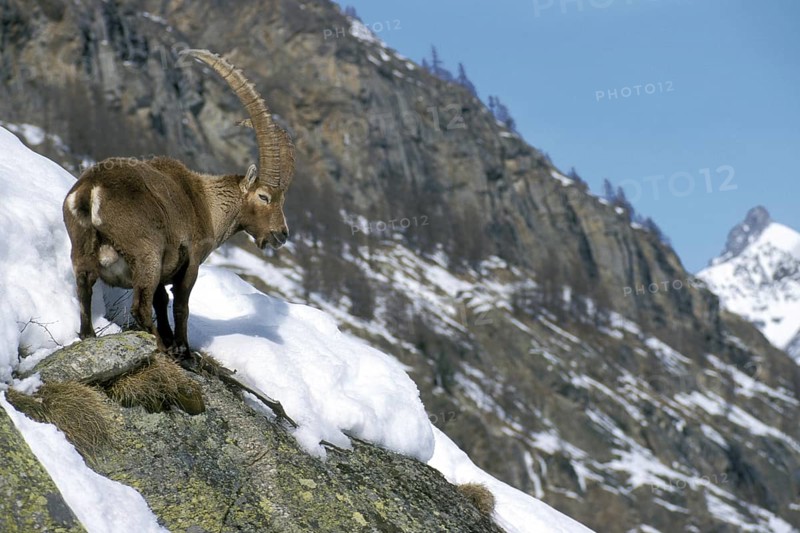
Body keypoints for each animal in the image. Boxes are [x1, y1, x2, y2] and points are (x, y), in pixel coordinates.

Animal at [63, 49, 295, 356]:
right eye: (264, 196)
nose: (282, 234)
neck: (208, 204)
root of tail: (91, 189)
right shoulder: (192, 260)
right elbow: (181, 305)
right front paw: (182, 348)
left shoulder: (167, 267)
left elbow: (162, 301)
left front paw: (174, 342)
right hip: (146, 253)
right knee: (139, 307)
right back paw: (160, 347)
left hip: (82, 248)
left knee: (85, 286)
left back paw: (90, 335)